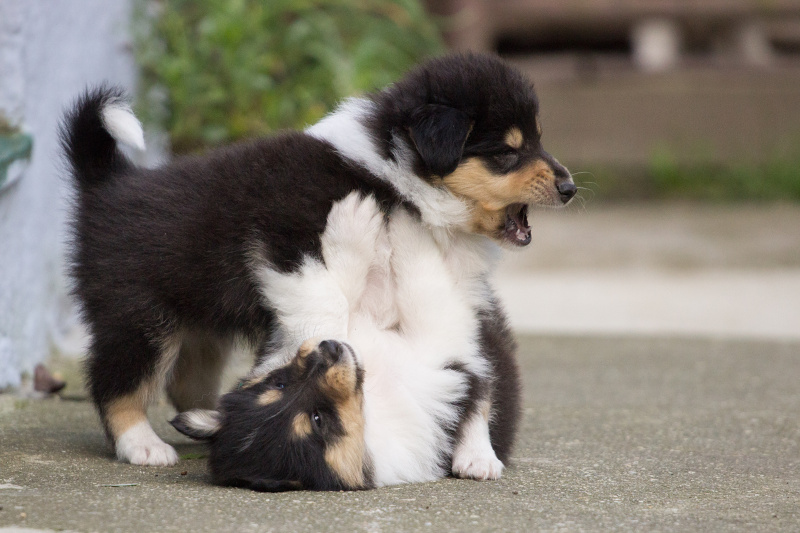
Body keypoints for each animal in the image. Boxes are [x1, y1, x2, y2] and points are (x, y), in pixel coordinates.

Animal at [61, 52, 574, 483]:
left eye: (538, 138)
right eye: (506, 151)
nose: (570, 188)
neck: (393, 172)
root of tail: (109, 184)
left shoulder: (467, 304)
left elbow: (479, 377)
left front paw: (477, 455)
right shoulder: (293, 249)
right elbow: (328, 302)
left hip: (200, 324)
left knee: (186, 379)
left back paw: (208, 419)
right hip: (138, 312)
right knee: (116, 382)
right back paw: (144, 445)